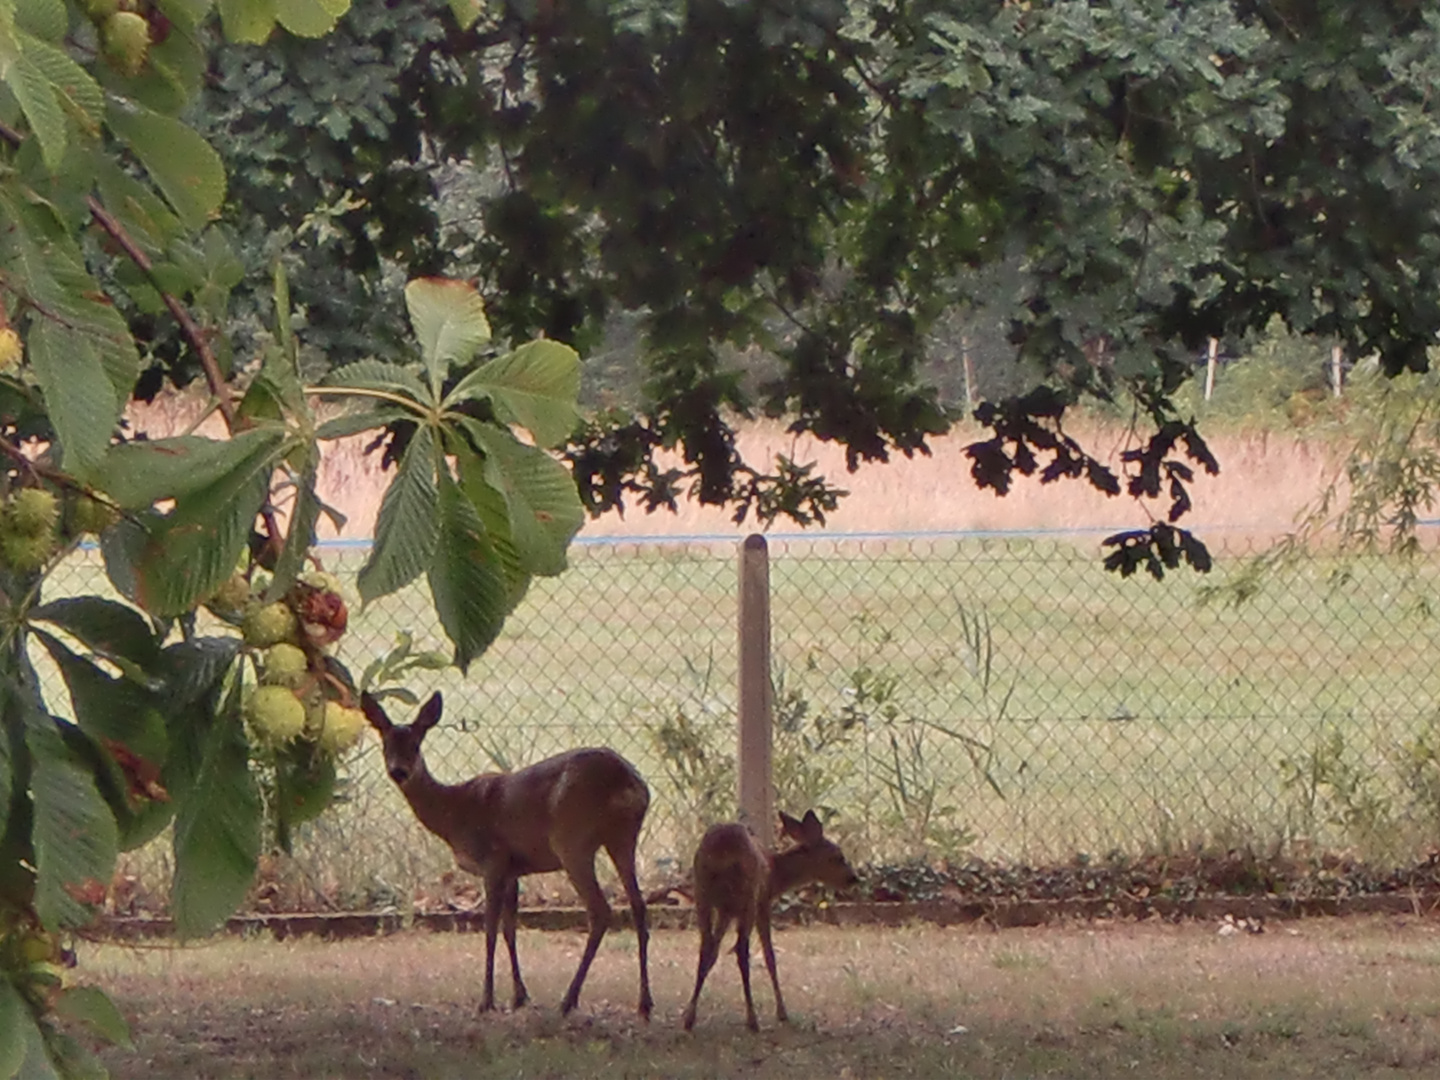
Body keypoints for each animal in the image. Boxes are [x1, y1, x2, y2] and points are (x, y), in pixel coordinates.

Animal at [360, 694, 653, 1025]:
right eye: (386, 743)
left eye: (416, 744)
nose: (399, 771)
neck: (453, 812)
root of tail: (630, 783)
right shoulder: (513, 869)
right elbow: (510, 929)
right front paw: (519, 996)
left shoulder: (493, 859)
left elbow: (489, 928)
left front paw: (486, 1000)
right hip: (623, 838)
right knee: (639, 905)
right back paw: (644, 1004)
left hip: (572, 841)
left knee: (601, 910)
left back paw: (568, 1001)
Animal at [682, 812, 858, 1031]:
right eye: (837, 857)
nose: (854, 878)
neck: (775, 874)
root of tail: (723, 852)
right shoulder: (762, 904)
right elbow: (769, 956)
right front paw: (782, 1012)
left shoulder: (726, 911)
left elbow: (712, 954)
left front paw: (688, 1013)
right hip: (748, 896)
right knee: (741, 951)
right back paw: (752, 1019)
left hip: (702, 893)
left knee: (706, 947)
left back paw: (690, 1018)